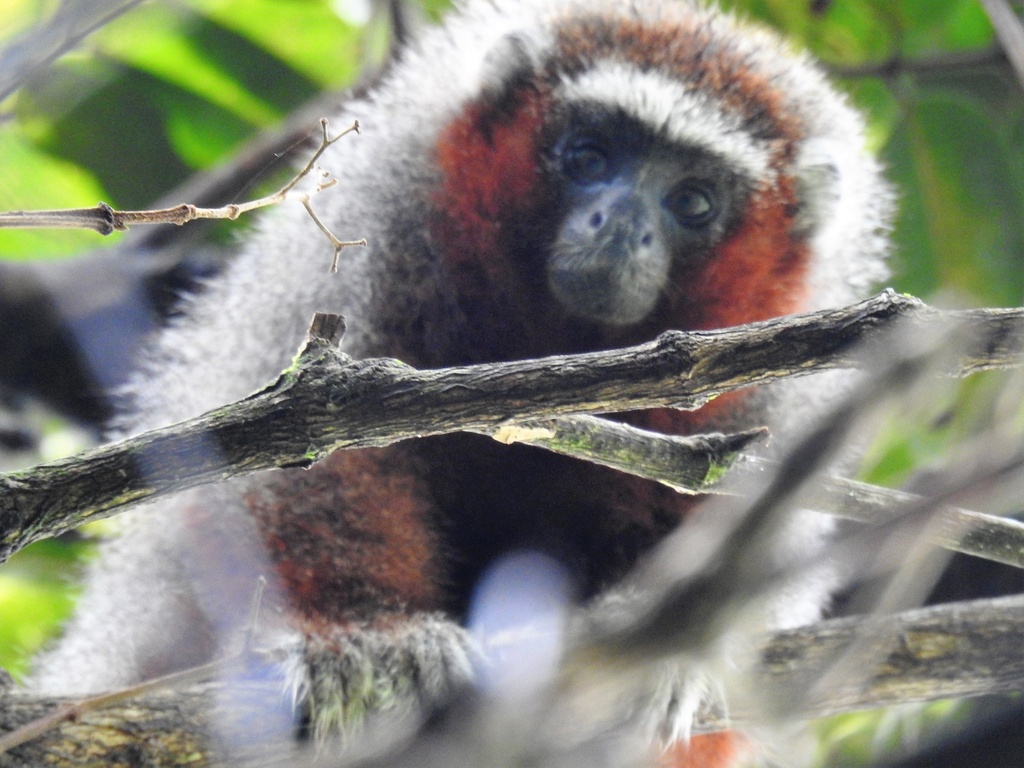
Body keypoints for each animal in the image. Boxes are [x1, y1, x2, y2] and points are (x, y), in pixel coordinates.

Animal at [30, 0, 893, 764]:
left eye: (692, 201)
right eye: (588, 157)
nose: (620, 225)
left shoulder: (782, 380)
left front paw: (668, 645)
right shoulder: (380, 221)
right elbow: (300, 452)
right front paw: (368, 635)